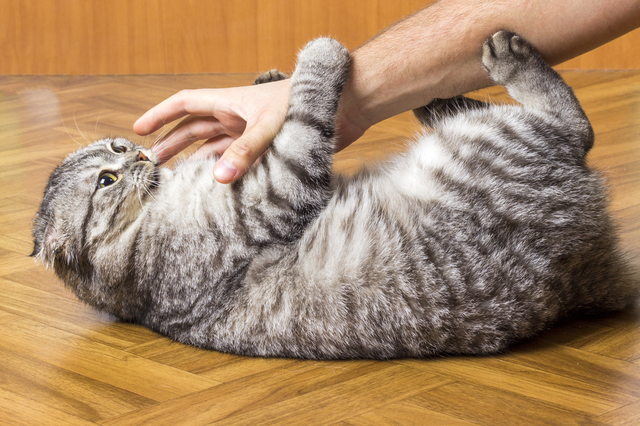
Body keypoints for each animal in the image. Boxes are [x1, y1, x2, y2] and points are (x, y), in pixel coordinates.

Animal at [32, 31, 636, 358]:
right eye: (105, 181)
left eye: (117, 147)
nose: (137, 155)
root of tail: (590, 274)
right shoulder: (280, 183)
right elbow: (305, 110)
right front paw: (317, 58)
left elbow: (292, 106)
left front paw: (267, 83)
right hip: (492, 142)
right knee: (573, 126)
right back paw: (504, 59)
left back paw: (436, 92)